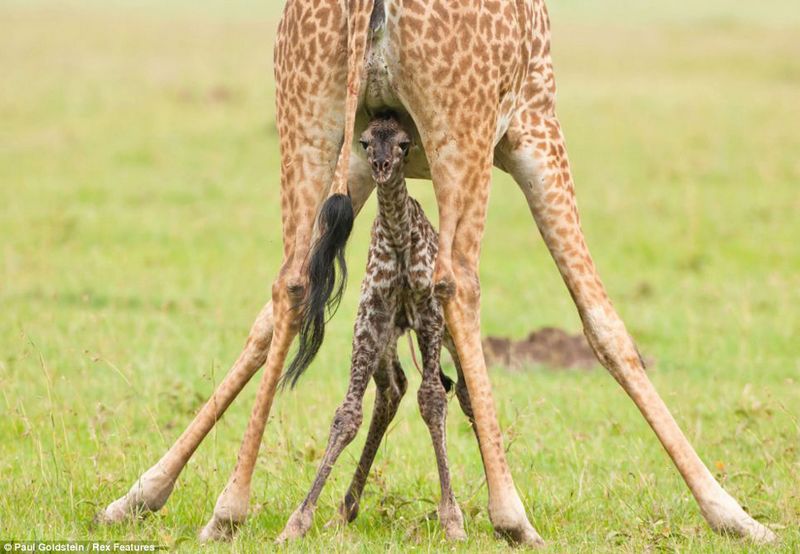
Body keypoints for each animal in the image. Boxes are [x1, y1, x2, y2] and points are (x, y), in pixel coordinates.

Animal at [278, 111, 476, 540]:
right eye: (366, 141)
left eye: (404, 143)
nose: (382, 167)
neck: (400, 240)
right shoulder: (371, 315)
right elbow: (347, 413)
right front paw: (299, 519)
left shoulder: (429, 316)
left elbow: (433, 400)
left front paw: (452, 518)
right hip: (388, 338)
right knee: (392, 389)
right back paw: (346, 507)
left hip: (447, 333)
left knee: (466, 393)